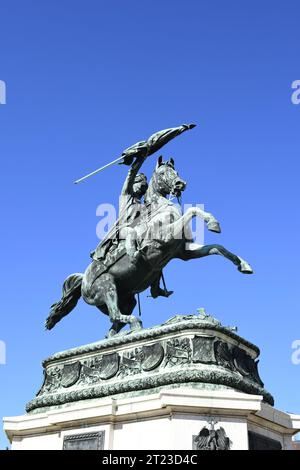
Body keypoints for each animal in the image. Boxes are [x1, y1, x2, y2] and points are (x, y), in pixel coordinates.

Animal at [46, 158, 253, 338]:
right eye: (162, 173)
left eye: (176, 171)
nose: (180, 184)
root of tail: (83, 280)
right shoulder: (163, 239)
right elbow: (191, 211)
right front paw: (212, 222)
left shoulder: (183, 252)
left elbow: (217, 248)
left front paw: (243, 264)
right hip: (107, 288)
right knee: (115, 315)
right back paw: (136, 324)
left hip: (126, 299)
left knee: (113, 325)